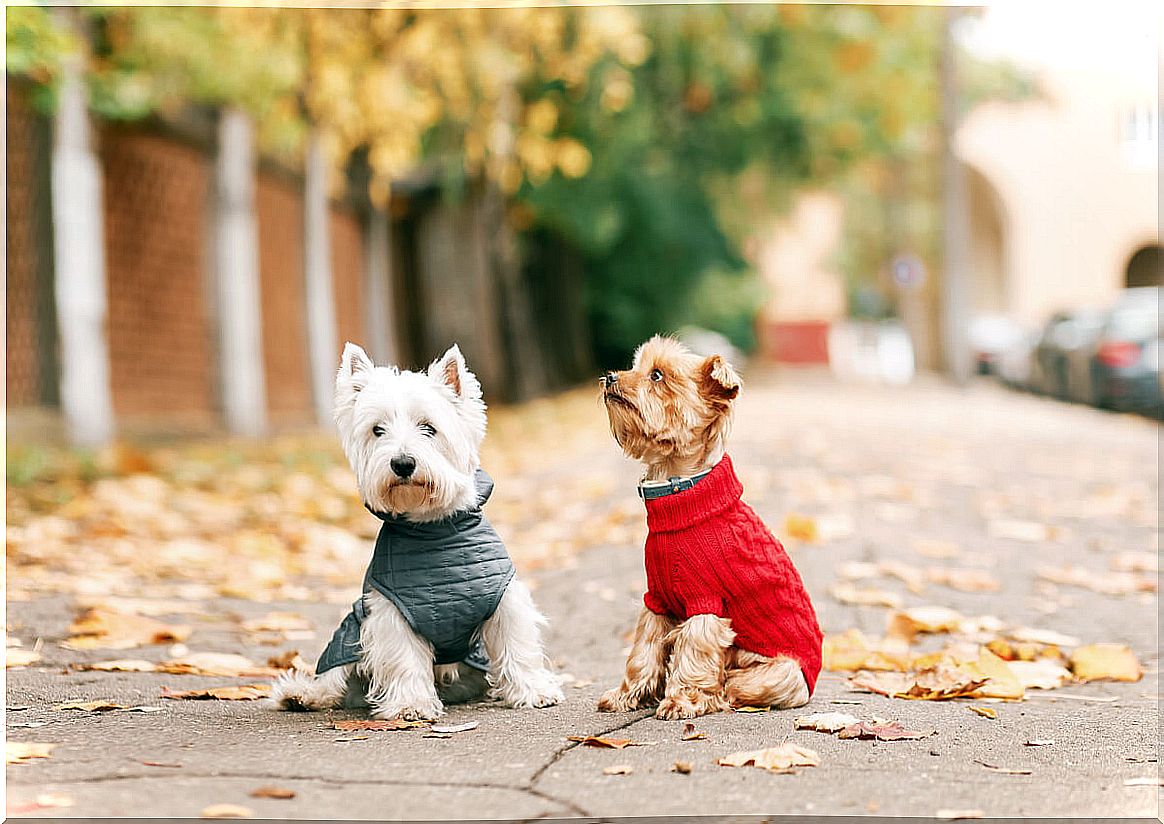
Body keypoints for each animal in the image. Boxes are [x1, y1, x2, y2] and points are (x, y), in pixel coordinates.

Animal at [272, 344, 563, 716]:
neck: (434, 530)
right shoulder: (391, 611)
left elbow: (517, 644)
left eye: (428, 428)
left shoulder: (504, 599)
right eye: (377, 430)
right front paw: (410, 704)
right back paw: (302, 694)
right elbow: (404, 657)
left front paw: (534, 691)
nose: (402, 463)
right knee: (334, 678)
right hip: (350, 630)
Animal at [595, 337, 824, 716]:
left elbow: (693, 653)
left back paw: (716, 695)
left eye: (657, 375)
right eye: (635, 366)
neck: (680, 494)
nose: (611, 377)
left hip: (779, 673)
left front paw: (679, 700)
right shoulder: (657, 600)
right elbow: (643, 650)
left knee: (734, 684)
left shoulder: (707, 603)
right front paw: (626, 695)